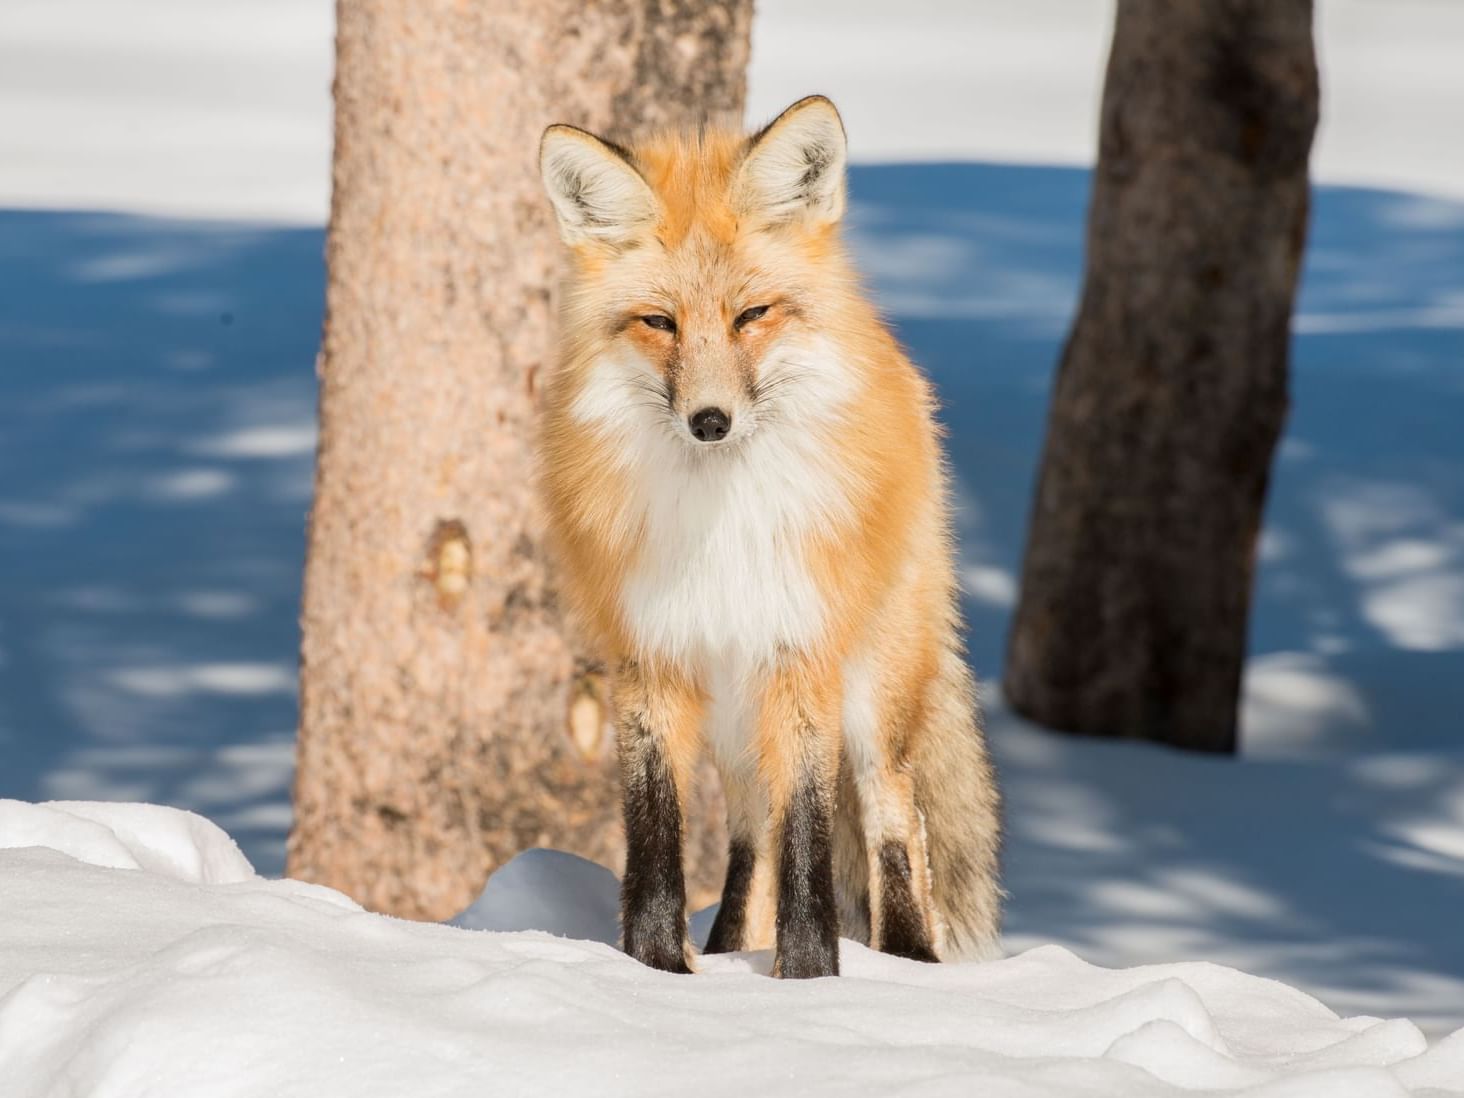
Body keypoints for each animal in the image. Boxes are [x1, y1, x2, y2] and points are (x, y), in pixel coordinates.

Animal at [538, 96, 1007, 977]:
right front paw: (657, 969)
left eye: (751, 315)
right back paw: (726, 951)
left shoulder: (801, 656)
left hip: (873, 691)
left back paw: (910, 963)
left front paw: (810, 980)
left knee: (898, 824)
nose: (710, 421)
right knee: (749, 840)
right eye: (660, 322)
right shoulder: (652, 659)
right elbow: (658, 836)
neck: (722, 523)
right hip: (732, 714)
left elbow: (809, 843)